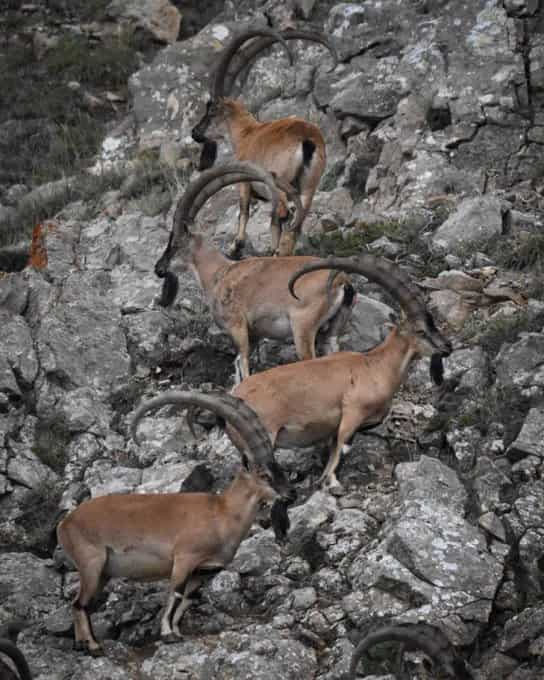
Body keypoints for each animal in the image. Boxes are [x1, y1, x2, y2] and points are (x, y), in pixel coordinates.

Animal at [56, 390, 292, 656]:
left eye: (279, 469)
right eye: (264, 475)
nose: (291, 493)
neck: (221, 514)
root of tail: (64, 524)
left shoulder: (202, 571)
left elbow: (187, 600)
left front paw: (177, 632)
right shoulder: (184, 559)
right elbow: (176, 593)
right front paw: (168, 635)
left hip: (102, 572)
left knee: (77, 603)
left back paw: (81, 644)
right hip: (91, 563)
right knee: (80, 603)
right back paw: (94, 646)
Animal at [155, 160, 354, 382]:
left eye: (175, 244)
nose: (159, 268)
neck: (219, 274)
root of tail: (342, 281)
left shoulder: (238, 327)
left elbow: (243, 364)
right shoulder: (256, 334)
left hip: (303, 328)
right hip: (332, 332)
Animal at [191, 25, 336, 255]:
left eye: (212, 110)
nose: (195, 132)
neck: (246, 134)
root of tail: (307, 141)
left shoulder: (244, 182)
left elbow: (244, 210)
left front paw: (235, 246)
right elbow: (272, 223)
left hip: (281, 181)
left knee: (284, 213)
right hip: (308, 187)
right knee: (295, 221)